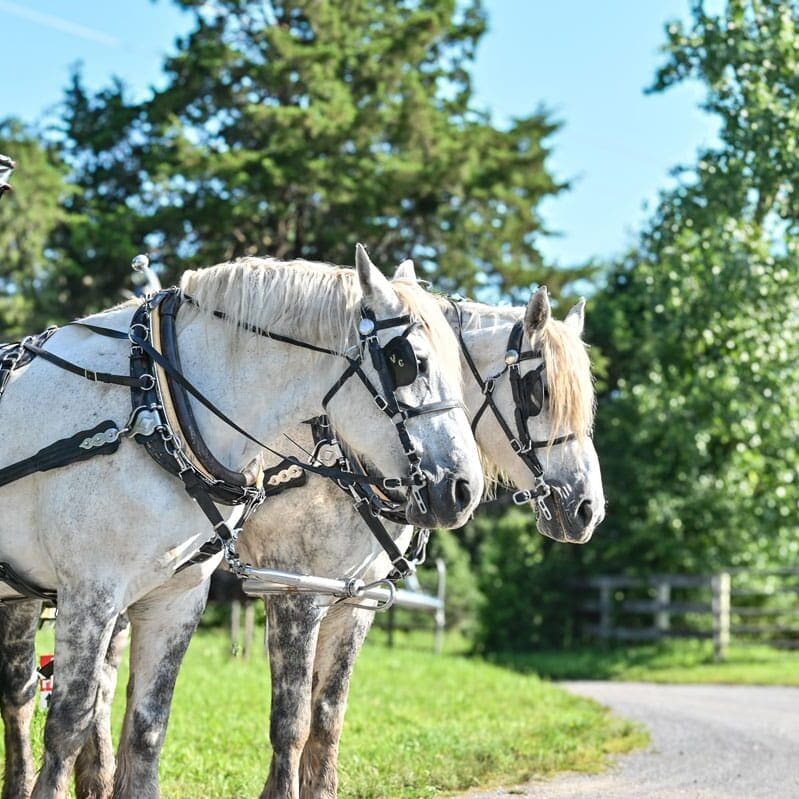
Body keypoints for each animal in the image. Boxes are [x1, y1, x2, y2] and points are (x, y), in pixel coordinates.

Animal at [4, 261, 603, 799]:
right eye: (538, 391)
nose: (587, 509)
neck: (160, 403)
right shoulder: (293, 592)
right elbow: (289, 721)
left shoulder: (351, 600)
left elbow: (325, 717)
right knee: (28, 696)